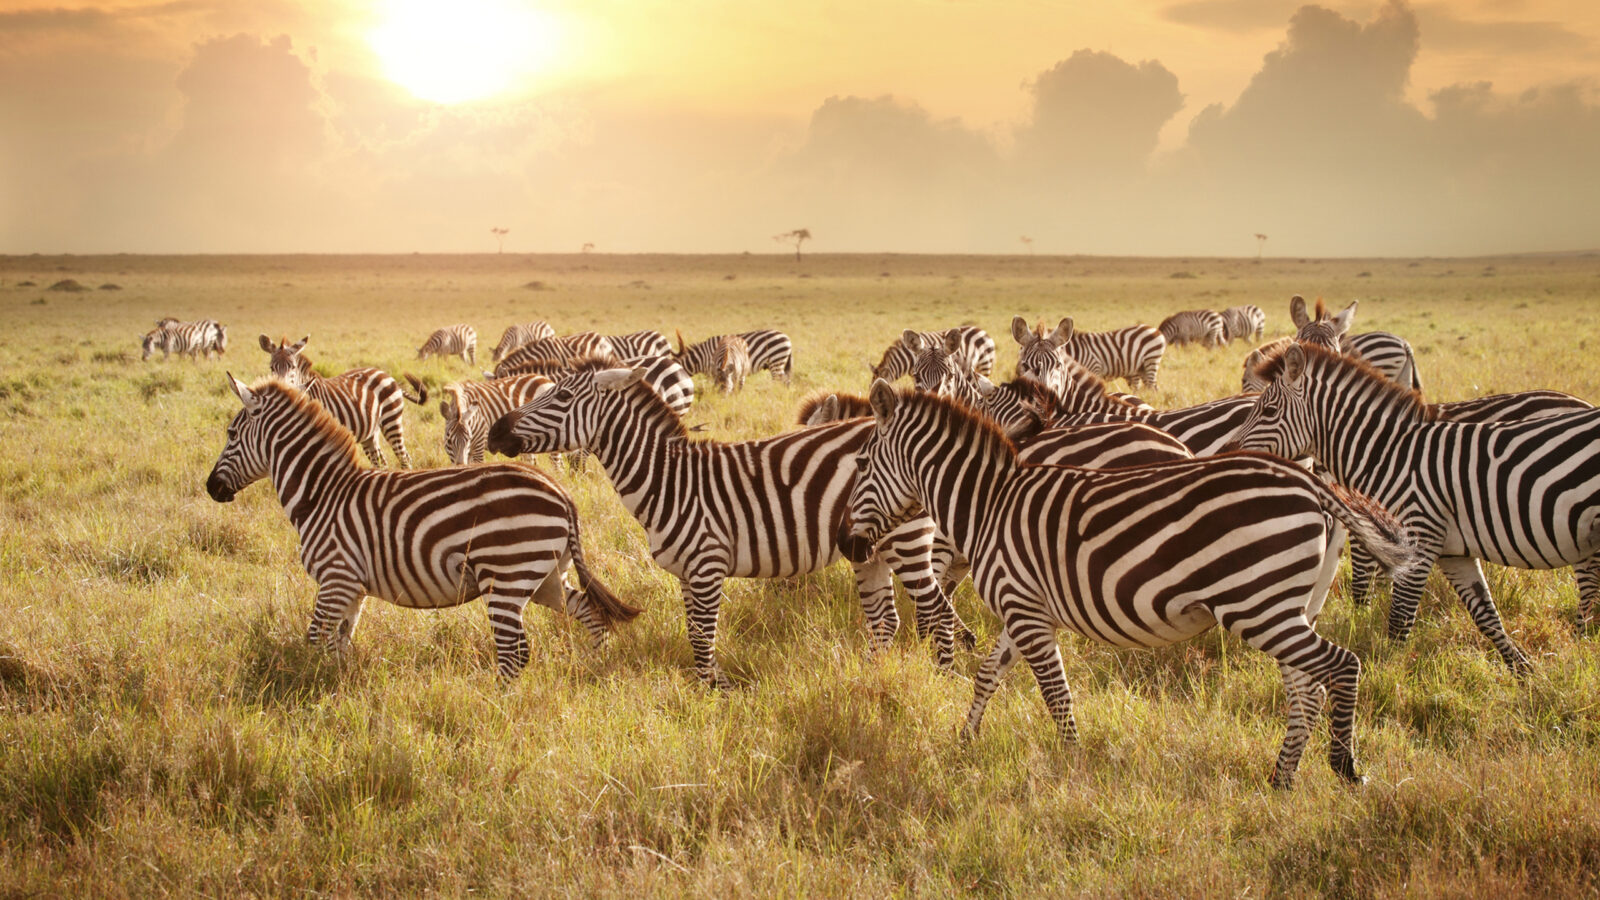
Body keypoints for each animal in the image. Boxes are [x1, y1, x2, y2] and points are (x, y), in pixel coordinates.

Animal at [206, 375, 639, 677]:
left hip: (505, 576)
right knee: (588, 612)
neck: (322, 494)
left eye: (230, 433)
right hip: (545, 576)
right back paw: (594, 665)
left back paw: (497, 706)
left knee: (514, 653)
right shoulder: (353, 587)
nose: (211, 488)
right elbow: (340, 643)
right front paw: (337, 686)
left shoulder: (336, 577)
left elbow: (315, 638)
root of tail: (562, 494)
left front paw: (313, 689)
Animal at [258, 335, 423, 468]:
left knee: (405, 458)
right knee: (381, 462)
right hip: (370, 433)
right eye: (272, 368)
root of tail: (386, 374)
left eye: (292, 367)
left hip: (391, 420)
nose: (282, 387)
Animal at [484, 358, 954, 683]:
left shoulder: (708, 565)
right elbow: (693, 633)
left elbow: (702, 637)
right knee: (886, 620)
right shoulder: (685, 574)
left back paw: (945, 678)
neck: (669, 481)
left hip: (906, 541)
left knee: (938, 612)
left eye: (561, 398)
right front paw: (703, 691)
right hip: (868, 549)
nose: (495, 432)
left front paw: (716, 694)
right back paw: (874, 676)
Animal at [838, 382, 1416, 789]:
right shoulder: (1023, 610)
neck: (989, 505)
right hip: (1290, 606)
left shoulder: (1024, 610)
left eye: (861, 463)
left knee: (1341, 667)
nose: (847, 545)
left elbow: (1056, 695)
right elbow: (987, 675)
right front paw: (965, 741)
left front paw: (1072, 767)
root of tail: (1309, 480)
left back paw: (1345, 766)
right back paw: (1282, 779)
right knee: (1306, 689)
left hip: (1259, 605)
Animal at [1227, 343, 1600, 672]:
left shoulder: (1417, 539)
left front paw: (1389, 680)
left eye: (1268, 411)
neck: (1390, 454)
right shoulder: (1452, 552)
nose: (1229, 451)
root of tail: (1578, 401)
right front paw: (1525, 674)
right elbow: (1486, 616)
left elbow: (1399, 622)